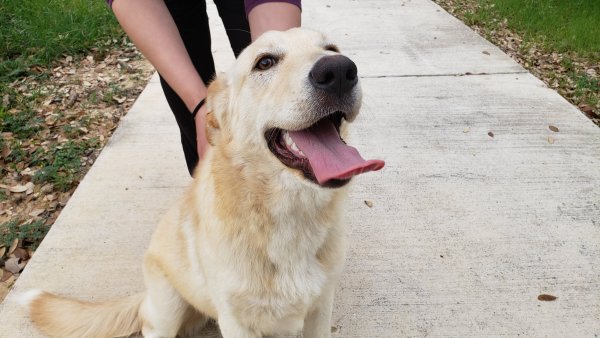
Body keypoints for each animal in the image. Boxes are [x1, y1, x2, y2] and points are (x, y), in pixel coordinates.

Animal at [19, 29, 384, 338]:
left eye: (331, 49)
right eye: (265, 62)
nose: (340, 70)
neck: (286, 213)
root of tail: (144, 296)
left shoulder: (319, 310)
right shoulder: (237, 322)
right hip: (167, 308)